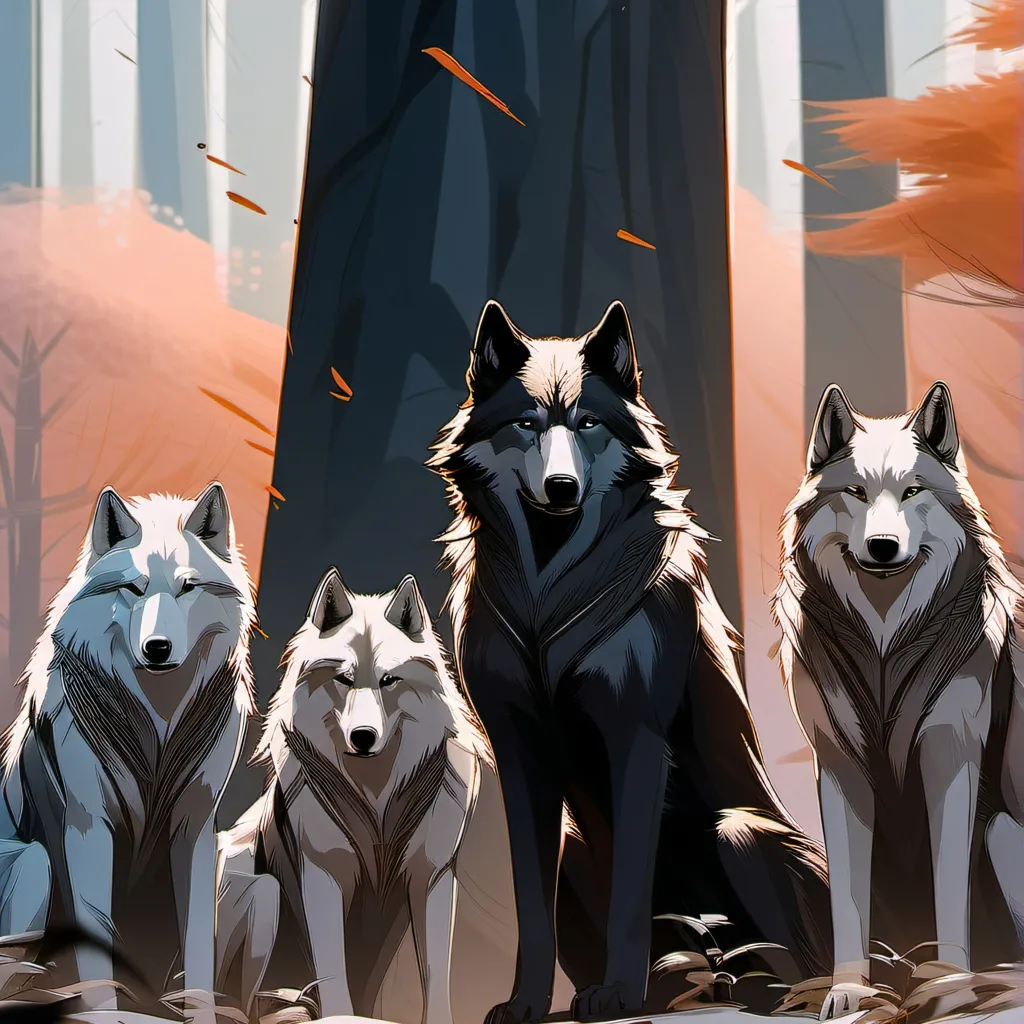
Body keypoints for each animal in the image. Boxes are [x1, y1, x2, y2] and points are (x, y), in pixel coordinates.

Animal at [0, 482, 256, 1013]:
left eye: (187, 587)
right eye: (134, 589)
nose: (157, 648)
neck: (158, 723)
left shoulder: (197, 829)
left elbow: (198, 943)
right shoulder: (87, 826)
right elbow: (97, 944)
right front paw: (103, 1014)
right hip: (36, 862)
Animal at [215, 568, 492, 1024]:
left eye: (388, 680)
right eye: (343, 679)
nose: (363, 737)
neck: (376, 798)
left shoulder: (431, 877)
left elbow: (435, 972)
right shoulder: (322, 873)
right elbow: (331, 969)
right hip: (264, 893)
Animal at [427, 298, 833, 1024]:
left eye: (588, 423)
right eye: (526, 424)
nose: (561, 486)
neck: (548, 594)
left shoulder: (635, 737)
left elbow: (630, 898)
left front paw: (618, 995)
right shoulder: (519, 751)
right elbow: (531, 906)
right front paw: (526, 1002)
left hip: (740, 836)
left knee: (790, 970)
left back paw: (752, 989)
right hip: (575, 856)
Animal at [772, 382, 1024, 1020]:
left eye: (912, 491)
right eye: (857, 492)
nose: (882, 546)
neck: (885, 647)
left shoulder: (951, 755)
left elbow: (948, 885)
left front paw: (952, 988)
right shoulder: (838, 767)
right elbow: (848, 903)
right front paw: (848, 991)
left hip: (1001, 830)